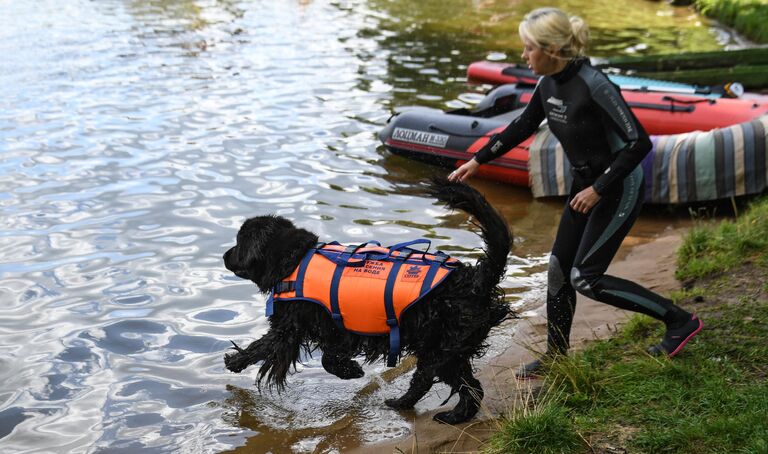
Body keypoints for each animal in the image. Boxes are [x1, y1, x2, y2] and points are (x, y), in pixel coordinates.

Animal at [225, 178, 512, 426]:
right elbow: (321, 355)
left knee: (447, 382)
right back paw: (421, 407)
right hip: (448, 348)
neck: (293, 262)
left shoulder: (294, 328)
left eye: (238, 243)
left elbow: (270, 347)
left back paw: (439, 413)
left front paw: (235, 362)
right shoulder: (334, 330)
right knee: (457, 383)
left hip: (442, 348)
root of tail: (476, 279)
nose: (224, 255)